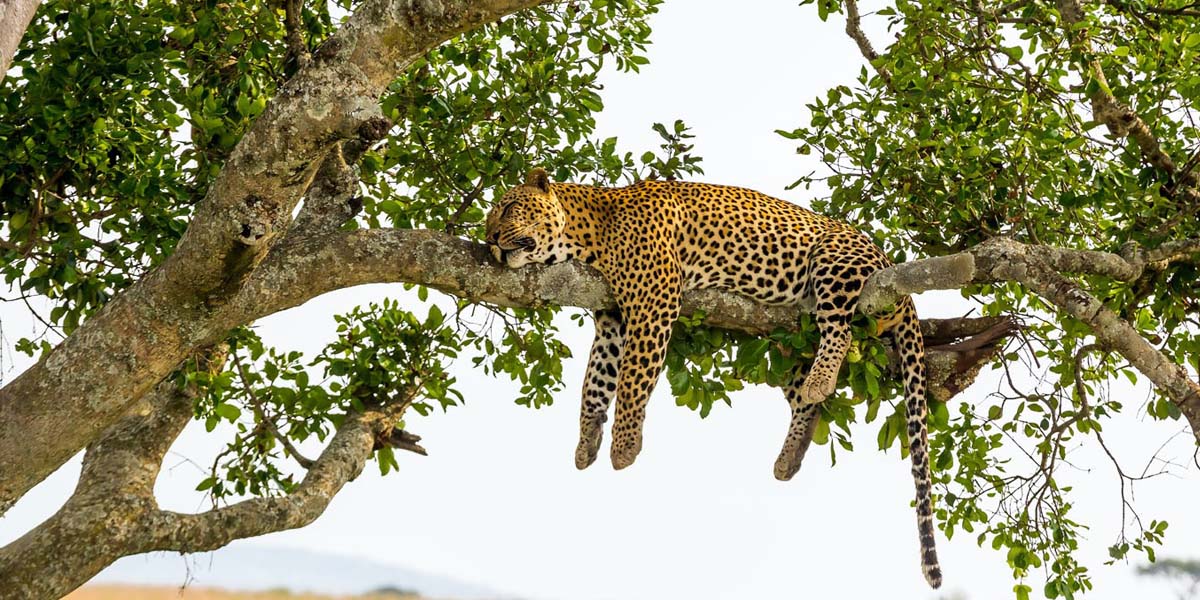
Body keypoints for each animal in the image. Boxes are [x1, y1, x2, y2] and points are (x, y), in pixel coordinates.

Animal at [482, 166, 940, 588]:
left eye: (508, 207)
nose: (489, 239)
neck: (588, 232)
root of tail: (888, 264)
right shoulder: (612, 320)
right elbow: (596, 383)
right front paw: (586, 442)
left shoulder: (654, 300)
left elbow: (632, 380)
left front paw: (624, 447)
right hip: (789, 339)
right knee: (803, 398)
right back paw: (791, 453)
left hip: (835, 260)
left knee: (840, 331)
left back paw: (821, 380)